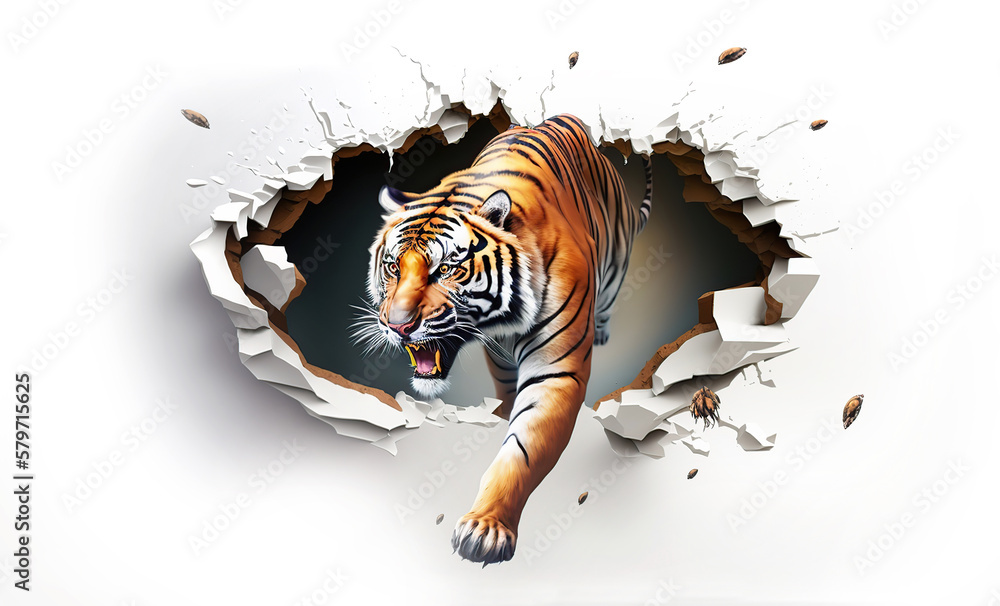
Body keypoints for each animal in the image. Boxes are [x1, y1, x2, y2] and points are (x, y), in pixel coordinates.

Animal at [358, 114, 653, 565]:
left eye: (446, 270)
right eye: (392, 266)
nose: (398, 325)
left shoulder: (555, 373)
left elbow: (522, 451)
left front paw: (486, 528)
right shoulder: (498, 361)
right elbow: (506, 404)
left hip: (617, 258)